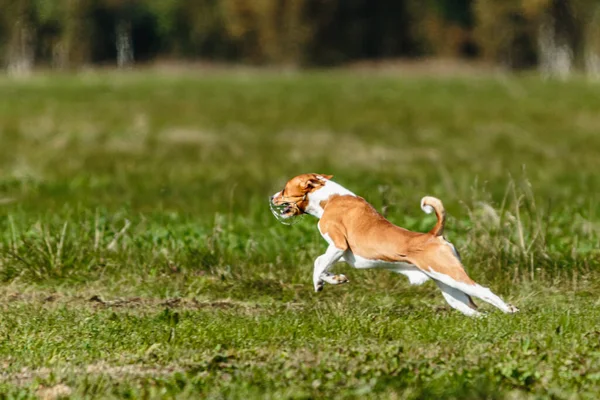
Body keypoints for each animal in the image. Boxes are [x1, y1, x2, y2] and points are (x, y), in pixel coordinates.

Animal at [270, 173, 516, 318]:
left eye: (284, 189)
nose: (271, 198)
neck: (330, 198)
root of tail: (433, 235)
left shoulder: (338, 244)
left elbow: (318, 263)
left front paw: (321, 283)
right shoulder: (340, 252)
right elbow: (323, 266)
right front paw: (334, 279)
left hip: (452, 276)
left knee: (485, 292)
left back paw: (510, 309)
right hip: (450, 289)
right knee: (473, 309)